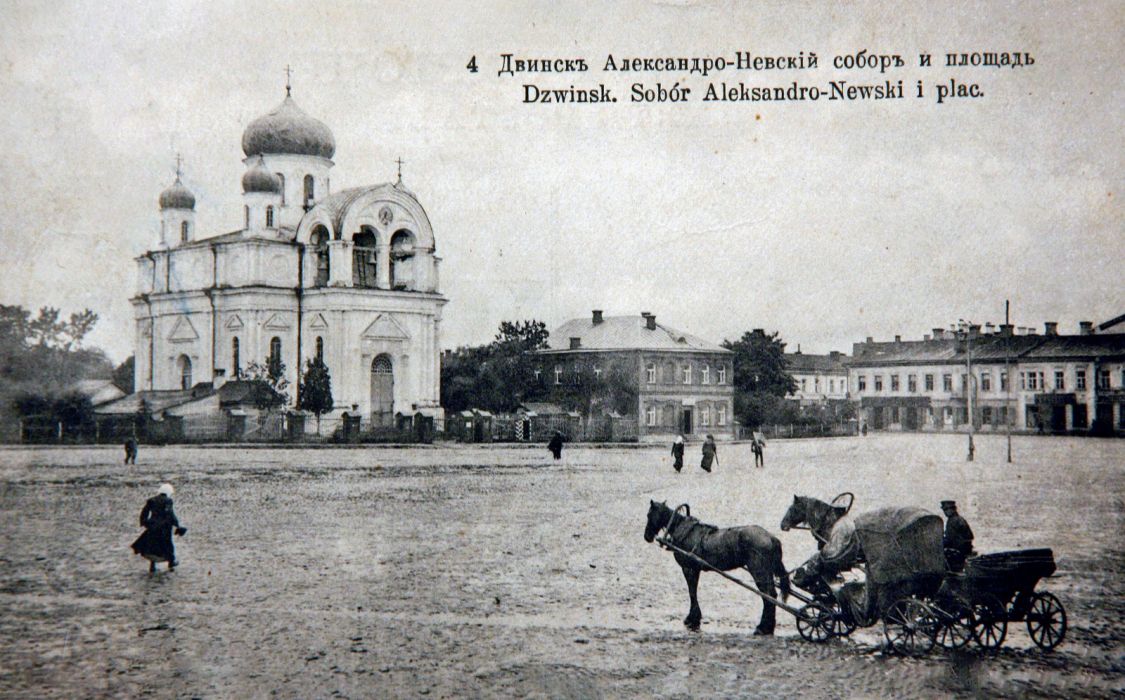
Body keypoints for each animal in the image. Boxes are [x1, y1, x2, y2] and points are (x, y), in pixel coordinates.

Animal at [643, 499, 792, 634]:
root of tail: (771, 537)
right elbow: (693, 590)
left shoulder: (688, 568)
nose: (647, 536)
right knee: (771, 595)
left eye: (649, 515)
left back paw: (763, 627)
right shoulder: (695, 569)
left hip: (758, 570)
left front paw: (692, 618)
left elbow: (692, 591)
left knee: (767, 595)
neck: (684, 531)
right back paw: (768, 626)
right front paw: (694, 616)